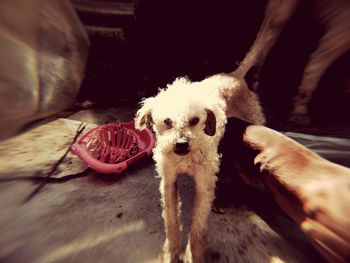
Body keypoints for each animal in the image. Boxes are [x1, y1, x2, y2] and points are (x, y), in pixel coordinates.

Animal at [135, 74, 264, 263]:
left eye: (195, 120)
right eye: (167, 121)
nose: (181, 144)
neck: (185, 158)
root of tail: (235, 76)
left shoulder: (204, 185)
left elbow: (198, 225)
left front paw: (192, 255)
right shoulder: (168, 183)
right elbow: (171, 222)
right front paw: (171, 253)